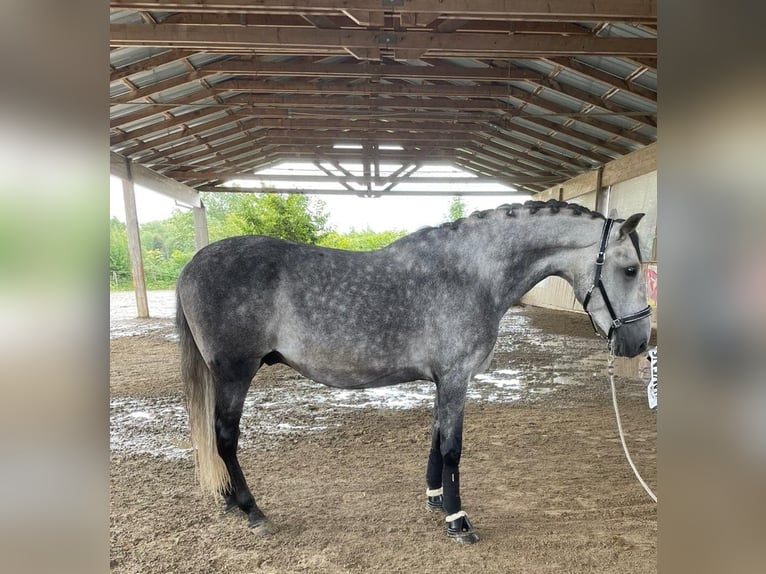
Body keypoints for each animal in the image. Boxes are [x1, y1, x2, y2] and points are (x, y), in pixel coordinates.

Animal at [175, 199, 652, 544]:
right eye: (630, 269)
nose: (639, 343)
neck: (471, 275)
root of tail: (192, 265)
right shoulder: (457, 378)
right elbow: (453, 448)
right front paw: (458, 521)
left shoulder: (445, 380)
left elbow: (437, 438)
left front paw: (436, 499)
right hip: (234, 374)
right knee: (225, 438)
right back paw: (253, 511)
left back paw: (230, 502)